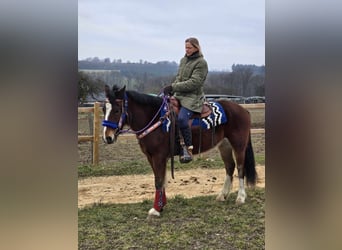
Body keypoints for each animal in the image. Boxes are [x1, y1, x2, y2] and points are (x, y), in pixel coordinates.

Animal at [102, 85, 256, 217]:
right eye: (104, 109)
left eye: (117, 110)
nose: (107, 137)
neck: (155, 119)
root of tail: (243, 110)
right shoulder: (151, 157)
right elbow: (161, 179)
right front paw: (161, 205)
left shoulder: (158, 157)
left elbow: (159, 181)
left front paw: (156, 209)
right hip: (224, 145)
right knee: (230, 167)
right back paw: (222, 195)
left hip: (239, 145)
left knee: (240, 168)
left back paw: (240, 197)